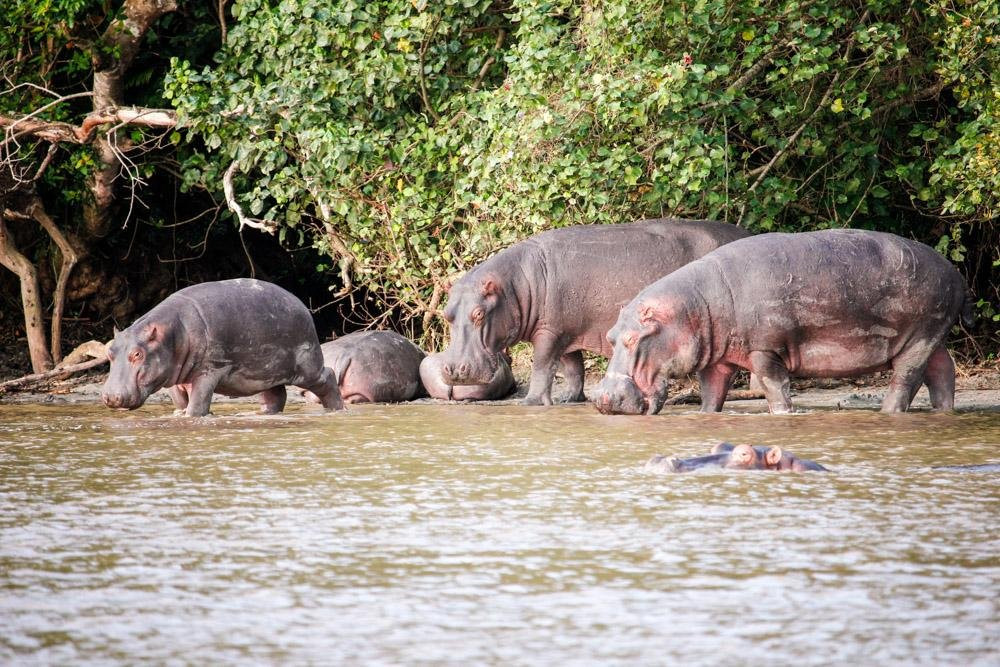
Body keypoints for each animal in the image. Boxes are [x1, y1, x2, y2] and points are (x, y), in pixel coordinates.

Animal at [100, 278, 344, 414]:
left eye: (137, 354)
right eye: (110, 351)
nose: (111, 396)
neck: (172, 333)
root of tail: (302, 305)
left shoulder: (210, 370)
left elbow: (198, 404)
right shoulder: (172, 377)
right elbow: (180, 402)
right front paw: (178, 415)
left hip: (307, 366)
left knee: (327, 377)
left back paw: (337, 410)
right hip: (266, 372)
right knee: (275, 396)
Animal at [434, 219, 748, 408]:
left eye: (478, 314)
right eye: (447, 314)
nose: (454, 370)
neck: (516, 284)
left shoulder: (548, 332)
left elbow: (542, 366)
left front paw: (531, 402)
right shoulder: (566, 332)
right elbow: (573, 369)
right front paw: (567, 400)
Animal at [588, 231, 972, 418]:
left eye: (632, 340)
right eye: (611, 336)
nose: (604, 399)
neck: (694, 306)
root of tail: (955, 272)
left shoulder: (765, 350)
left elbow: (775, 386)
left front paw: (785, 414)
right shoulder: (719, 359)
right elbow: (712, 394)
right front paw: (706, 415)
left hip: (919, 335)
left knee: (907, 378)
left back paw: (887, 413)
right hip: (933, 336)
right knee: (943, 371)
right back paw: (944, 413)